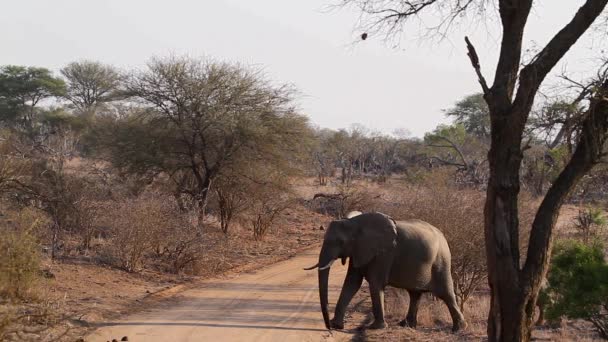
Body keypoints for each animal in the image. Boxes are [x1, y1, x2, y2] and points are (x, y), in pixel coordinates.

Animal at [304, 211, 466, 332]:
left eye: (340, 242)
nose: (328, 327)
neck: (355, 223)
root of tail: (443, 236)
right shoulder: (359, 250)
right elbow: (351, 283)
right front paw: (337, 325)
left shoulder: (384, 253)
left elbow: (375, 284)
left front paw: (375, 328)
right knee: (415, 294)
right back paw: (406, 325)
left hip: (441, 261)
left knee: (446, 293)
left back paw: (458, 329)